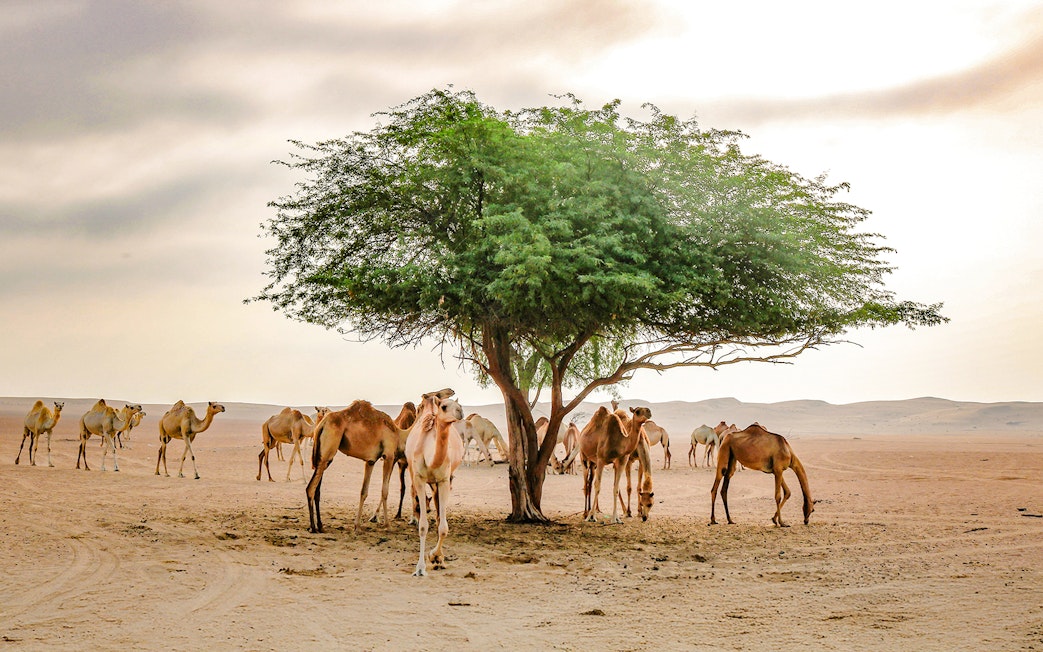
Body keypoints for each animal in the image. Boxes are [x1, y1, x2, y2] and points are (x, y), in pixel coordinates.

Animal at [405, 390, 465, 576]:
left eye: (459, 404)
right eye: (444, 406)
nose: (460, 411)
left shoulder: (444, 480)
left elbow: (443, 526)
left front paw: (436, 557)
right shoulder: (419, 479)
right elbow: (423, 526)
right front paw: (420, 568)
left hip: (441, 482)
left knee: (439, 517)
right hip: (414, 475)